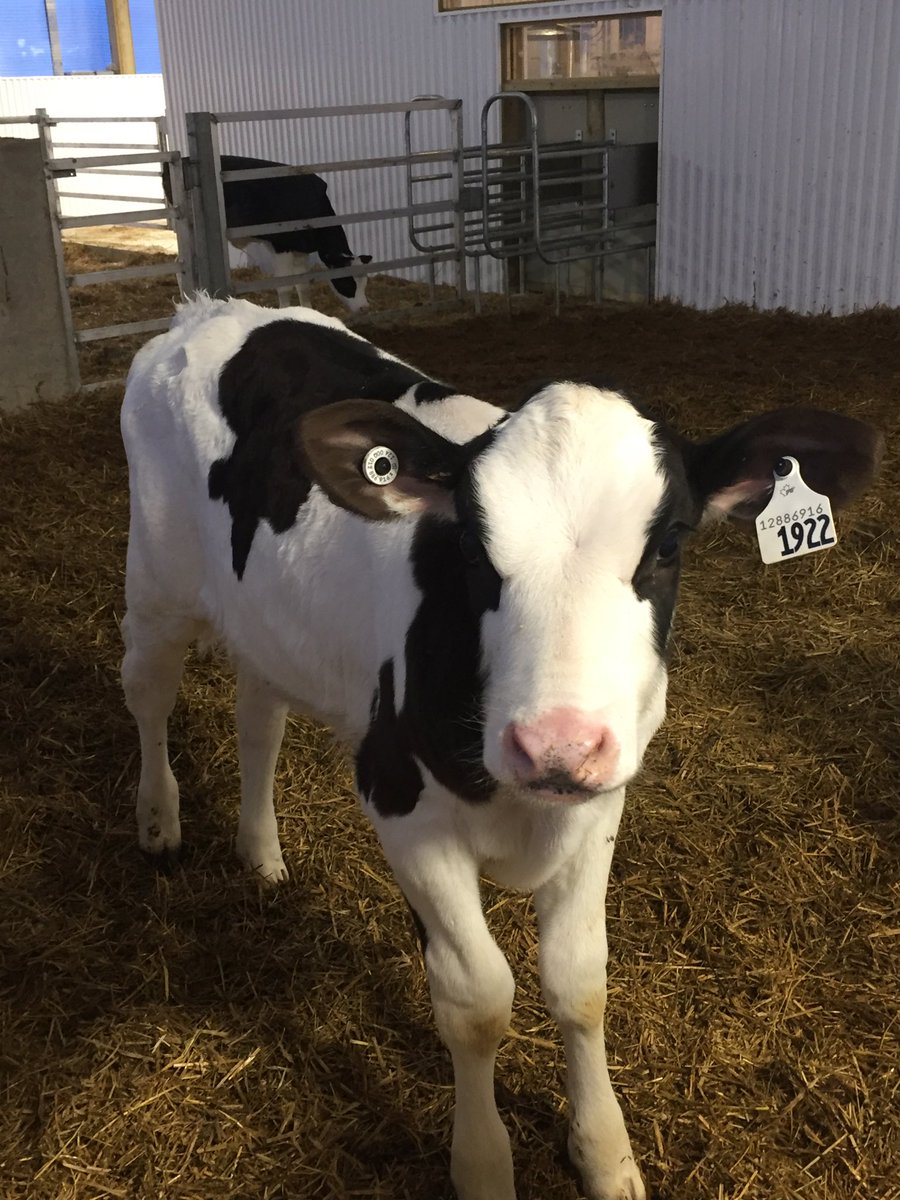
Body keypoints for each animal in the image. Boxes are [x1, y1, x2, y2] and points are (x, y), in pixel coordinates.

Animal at [120, 296, 880, 1200]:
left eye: (668, 544)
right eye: (471, 549)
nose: (557, 744)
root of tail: (207, 311)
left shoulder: (600, 804)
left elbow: (580, 981)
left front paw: (605, 1153)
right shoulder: (402, 807)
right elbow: (478, 998)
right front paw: (483, 1162)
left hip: (267, 620)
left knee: (257, 713)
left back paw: (261, 853)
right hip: (156, 582)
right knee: (147, 691)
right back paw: (158, 822)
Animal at [169, 154, 372, 312]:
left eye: (365, 282)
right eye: (347, 282)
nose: (364, 308)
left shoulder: (300, 249)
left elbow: (303, 285)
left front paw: (309, 311)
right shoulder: (281, 246)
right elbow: (284, 286)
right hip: (189, 228)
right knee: (181, 263)